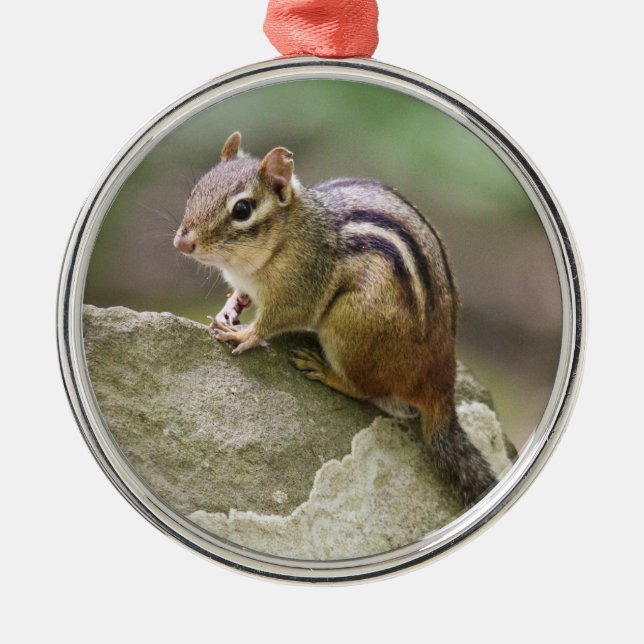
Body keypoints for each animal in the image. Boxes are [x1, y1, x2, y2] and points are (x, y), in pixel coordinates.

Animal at [173, 132, 497, 505]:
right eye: (194, 192)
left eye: (242, 209)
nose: (182, 243)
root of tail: (441, 386)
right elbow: (240, 297)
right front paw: (229, 311)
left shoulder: (300, 289)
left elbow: (275, 320)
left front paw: (244, 335)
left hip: (348, 324)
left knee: (368, 391)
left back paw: (325, 370)